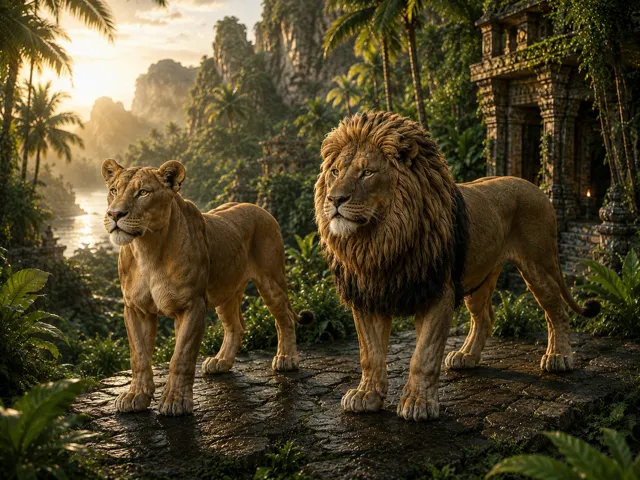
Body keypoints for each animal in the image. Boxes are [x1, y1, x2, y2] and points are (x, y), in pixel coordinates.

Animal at [101, 159, 313, 416]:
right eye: (114, 191)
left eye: (143, 193)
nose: (114, 214)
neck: (147, 249)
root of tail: (261, 209)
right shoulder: (136, 309)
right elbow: (139, 356)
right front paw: (135, 396)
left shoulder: (191, 306)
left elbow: (181, 356)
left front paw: (175, 400)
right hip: (226, 291)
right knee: (235, 327)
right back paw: (221, 362)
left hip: (271, 279)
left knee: (284, 319)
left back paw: (286, 358)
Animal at [314, 112, 600, 422]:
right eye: (335, 172)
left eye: (367, 173)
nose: (334, 199)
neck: (379, 242)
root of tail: (534, 186)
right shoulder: (367, 297)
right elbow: (370, 354)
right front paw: (366, 395)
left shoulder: (439, 292)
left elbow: (424, 355)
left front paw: (417, 403)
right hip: (479, 277)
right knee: (485, 317)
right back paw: (466, 356)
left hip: (538, 264)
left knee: (556, 310)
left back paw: (559, 357)